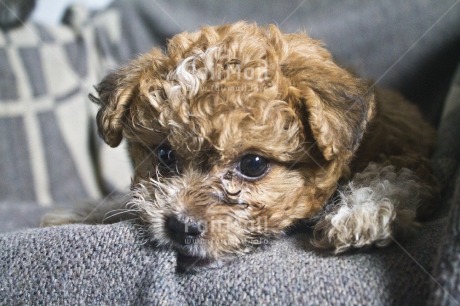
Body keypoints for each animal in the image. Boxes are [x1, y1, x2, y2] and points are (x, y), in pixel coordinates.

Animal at [42, 22, 438, 272]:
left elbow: (393, 174)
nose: (180, 227)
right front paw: (85, 211)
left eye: (253, 165)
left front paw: (362, 211)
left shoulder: (407, 147)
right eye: (165, 155)